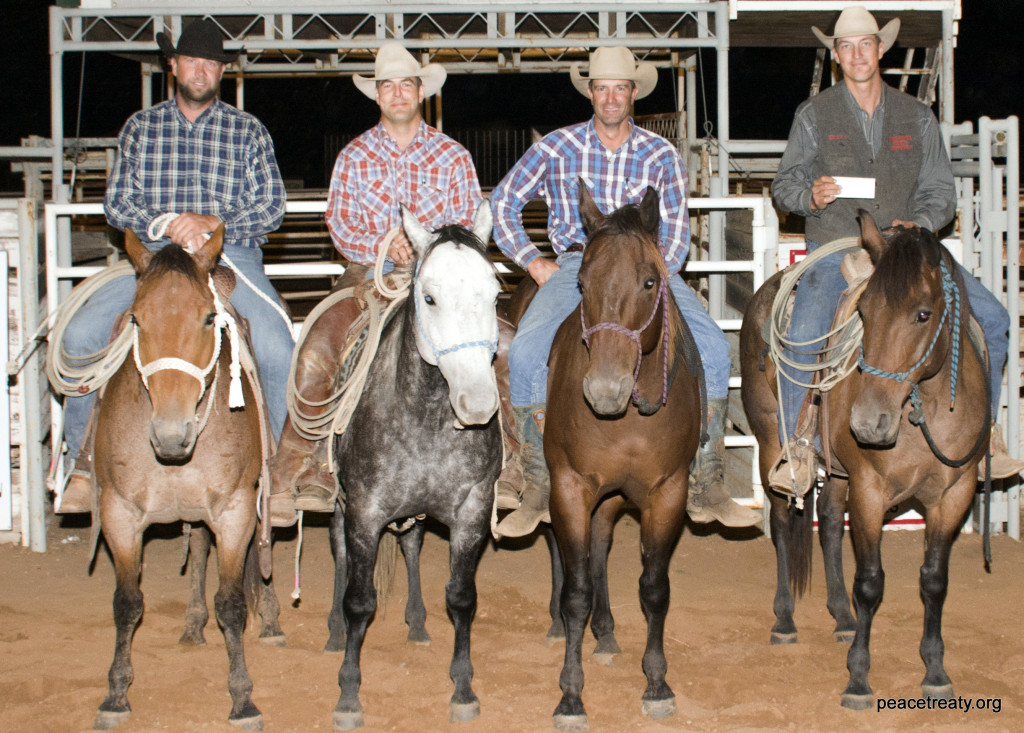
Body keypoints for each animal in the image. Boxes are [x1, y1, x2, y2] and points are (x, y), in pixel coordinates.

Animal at [87, 227, 276, 728]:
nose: (172, 434)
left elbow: (231, 603)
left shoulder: (234, 511)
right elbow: (126, 602)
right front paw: (115, 694)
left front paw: (242, 698)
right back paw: (192, 624)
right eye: (137, 318)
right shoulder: (118, 514)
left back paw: (271, 620)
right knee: (198, 546)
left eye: (208, 318)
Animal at [327, 203, 503, 728]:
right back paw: (333, 633)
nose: (478, 403)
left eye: (494, 293)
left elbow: (461, 597)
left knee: (410, 545)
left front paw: (463, 689)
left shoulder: (471, 512)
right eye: (429, 297)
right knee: (339, 553)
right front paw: (348, 695)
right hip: (340, 505)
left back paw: (418, 623)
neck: (422, 413)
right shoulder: (364, 512)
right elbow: (359, 601)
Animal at [540, 186, 708, 728]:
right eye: (581, 282)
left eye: (650, 280)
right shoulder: (569, 486)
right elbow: (574, 592)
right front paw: (571, 695)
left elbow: (654, 589)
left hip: (612, 498)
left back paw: (608, 631)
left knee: (598, 549)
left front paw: (656, 683)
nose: (604, 389)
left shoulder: (667, 492)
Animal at [741, 212, 987, 708]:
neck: (923, 409)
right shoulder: (871, 490)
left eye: (923, 313)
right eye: (865, 312)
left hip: (838, 470)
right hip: (772, 441)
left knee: (831, 522)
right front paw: (858, 678)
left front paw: (935, 671)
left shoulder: (954, 494)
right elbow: (871, 582)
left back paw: (841, 616)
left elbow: (934, 580)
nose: (869, 423)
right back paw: (785, 620)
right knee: (782, 520)